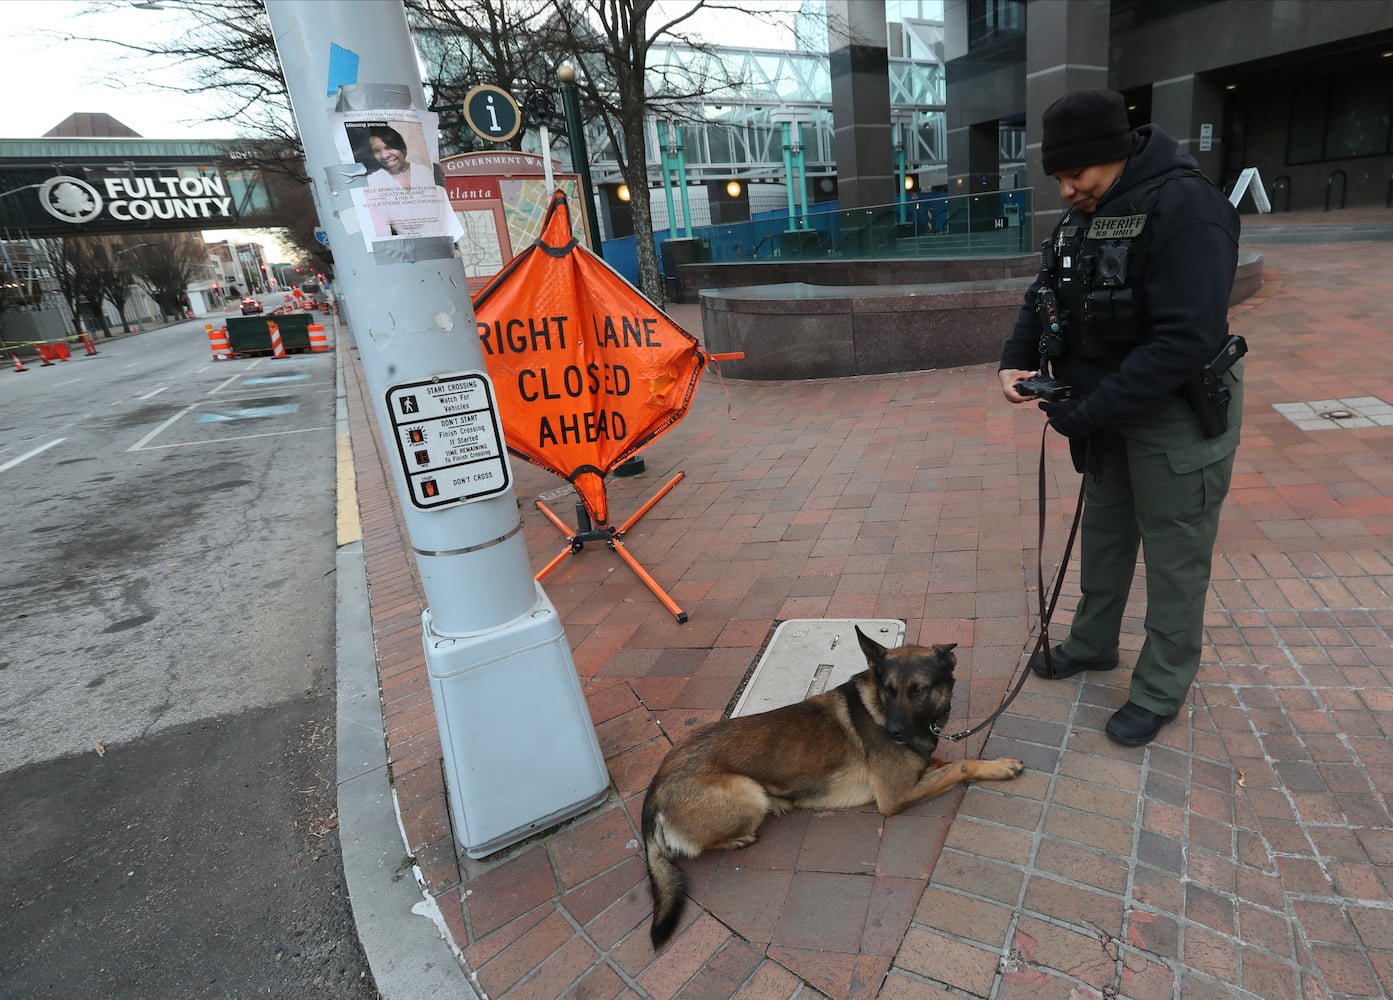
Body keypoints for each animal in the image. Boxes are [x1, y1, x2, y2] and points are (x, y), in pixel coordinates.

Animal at [640, 629, 1025, 952]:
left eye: (918, 689)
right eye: (889, 690)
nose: (894, 732)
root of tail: (656, 784)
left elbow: (943, 760)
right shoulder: (896, 796)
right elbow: (961, 765)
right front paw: (1000, 766)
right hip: (749, 792)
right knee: (695, 847)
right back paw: (739, 839)